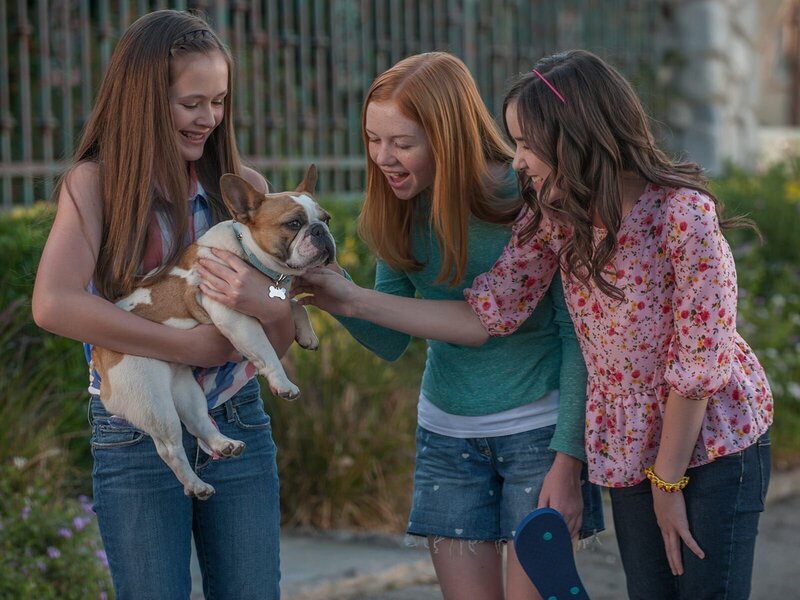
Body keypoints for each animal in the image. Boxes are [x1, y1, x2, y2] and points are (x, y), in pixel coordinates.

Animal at [91, 164, 335, 499]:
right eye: (294, 223)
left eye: (326, 219)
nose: (320, 231)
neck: (248, 253)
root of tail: (99, 355)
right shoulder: (235, 318)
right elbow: (267, 351)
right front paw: (283, 383)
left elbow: (295, 305)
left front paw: (307, 334)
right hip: (153, 400)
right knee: (170, 447)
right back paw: (196, 485)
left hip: (184, 389)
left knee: (198, 421)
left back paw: (224, 444)